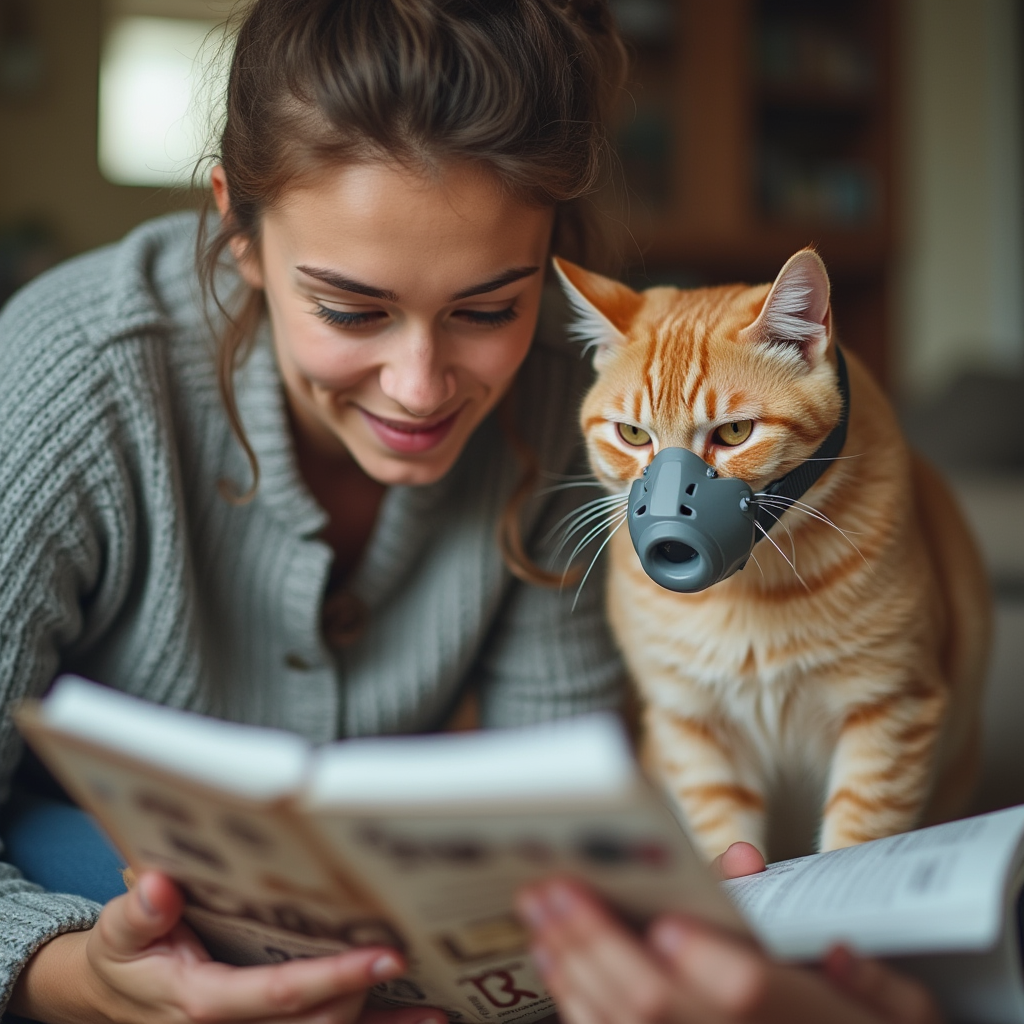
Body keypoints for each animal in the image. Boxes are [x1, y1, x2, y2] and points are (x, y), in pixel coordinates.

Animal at [561, 251, 991, 860]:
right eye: (633, 435)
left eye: (735, 432)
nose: (669, 529)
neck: (750, 594)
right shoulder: (692, 729)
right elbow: (724, 835)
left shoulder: (892, 707)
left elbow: (857, 837)